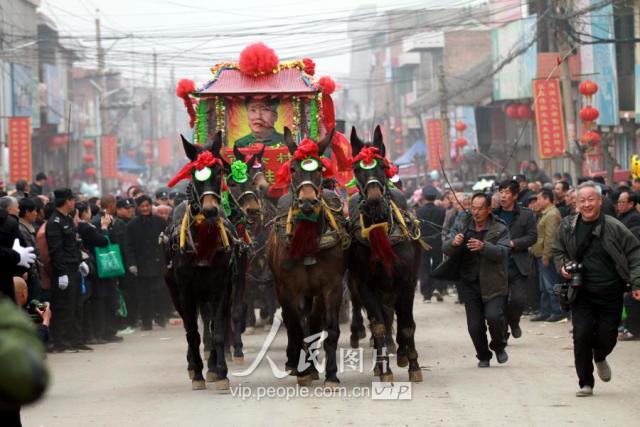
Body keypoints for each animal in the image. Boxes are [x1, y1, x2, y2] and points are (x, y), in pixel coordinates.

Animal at [162, 133, 245, 392]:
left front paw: (219, 372)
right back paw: (193, 365)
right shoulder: (185, 290)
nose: (209, 210)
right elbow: (192, 333)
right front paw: (197, 373)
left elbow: (217, 330)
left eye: (219, 171)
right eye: (194, 173)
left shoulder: (220, 287)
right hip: (177, 291)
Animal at [264, 127, 348, 388]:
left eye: (319, 168)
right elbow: (296, 326)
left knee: (313, 320)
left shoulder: (331, 285)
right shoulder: (289, 288)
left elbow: (328, 327)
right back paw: (295, 363)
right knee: (293, 322)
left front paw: (331, 374)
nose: (308, 201)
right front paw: (302, 371)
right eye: (292, 168)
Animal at [348, 125, 422, 382]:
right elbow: (379, 324)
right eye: (357, 170)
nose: (374, 203)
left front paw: (413, 366)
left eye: (381, 166)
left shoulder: (407, 282)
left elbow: (407, 324)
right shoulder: (366, 285)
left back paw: (401, 352)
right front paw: (384, 369)